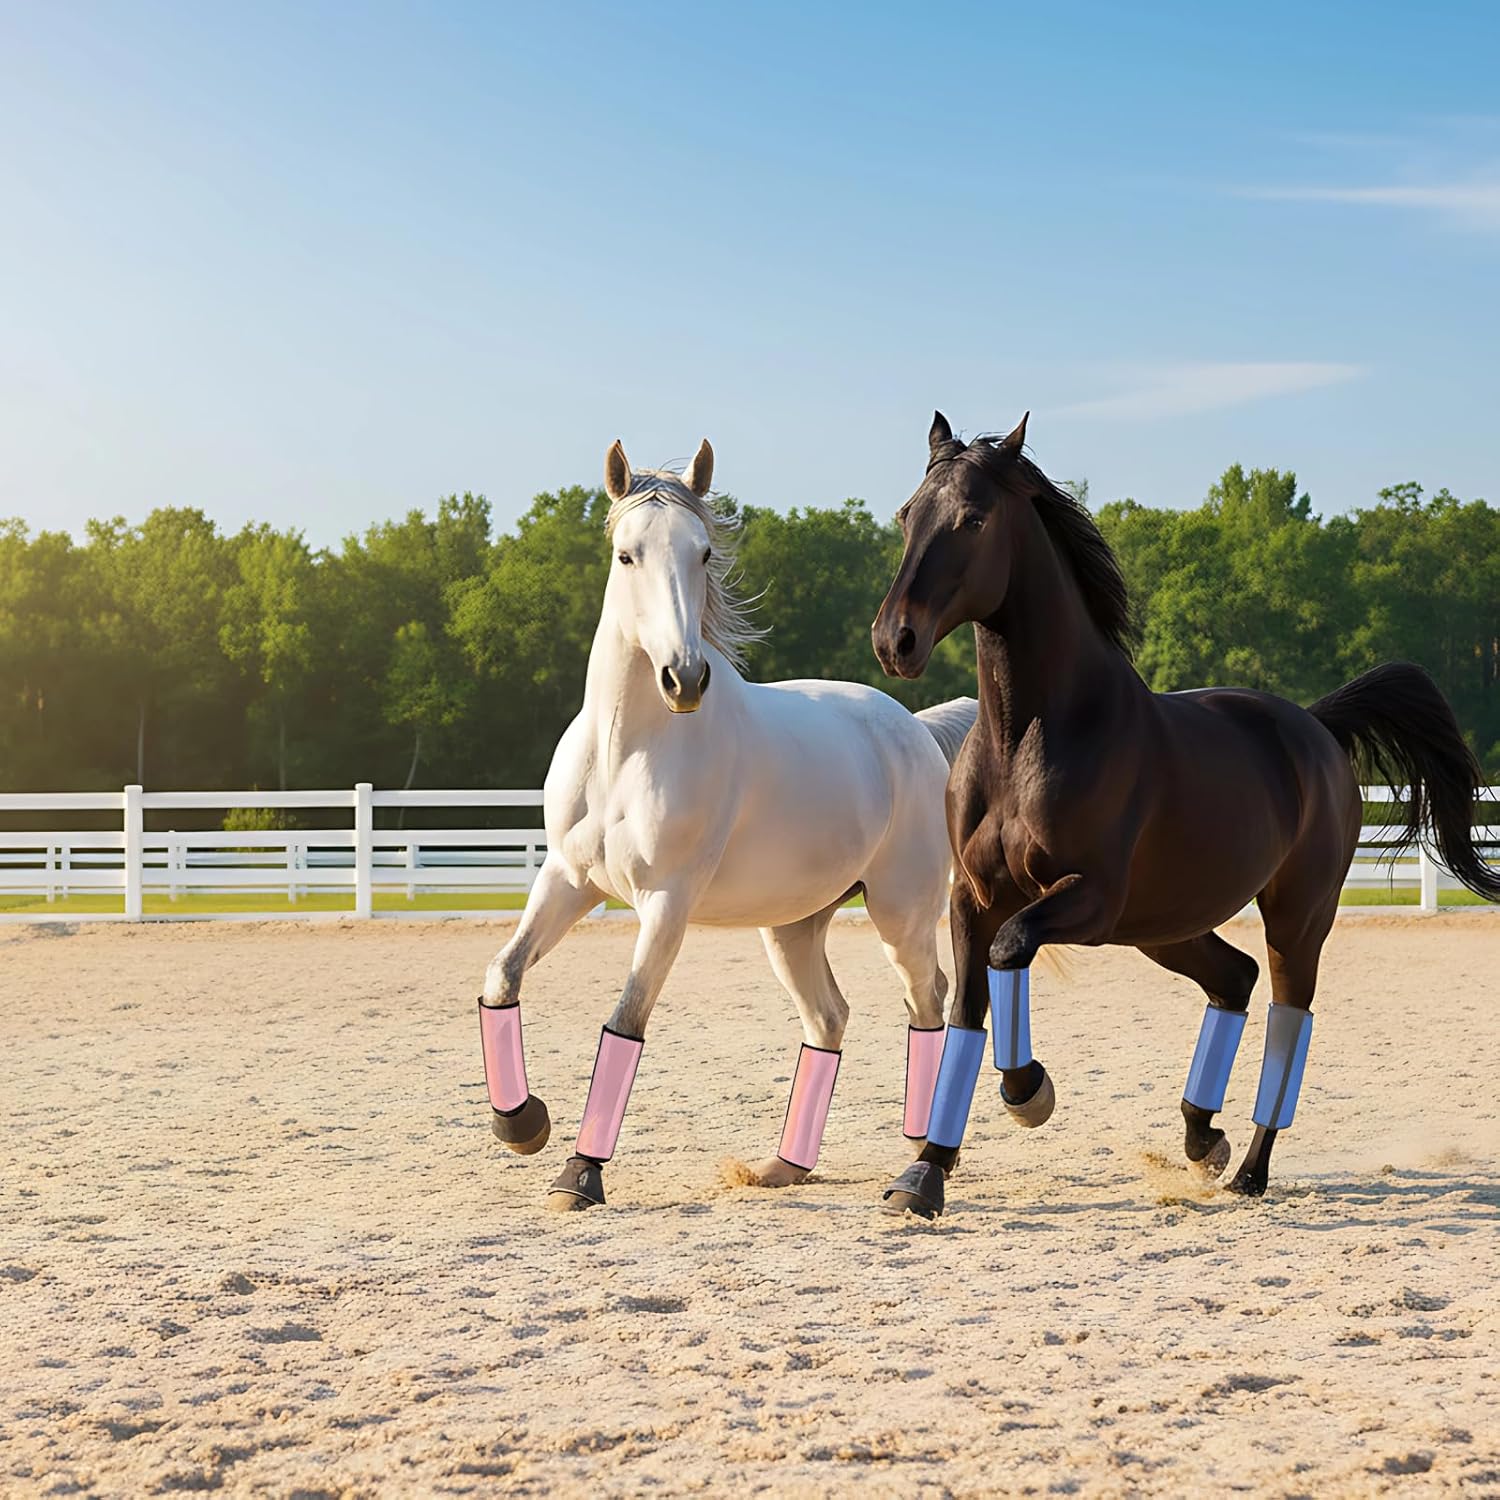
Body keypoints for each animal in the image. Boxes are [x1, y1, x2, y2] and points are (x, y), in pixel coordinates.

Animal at [476, 436, 979, 1209]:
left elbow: (625, 1021)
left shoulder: (666, 904)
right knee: (829, 1017)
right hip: (793, 927)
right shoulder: (569, 880)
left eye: (704, 552)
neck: (628, 752)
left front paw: (580, 1172)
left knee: (929, 1002)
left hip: (902, 914)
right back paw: (783, 1166)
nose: (683, 678)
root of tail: (916, 731)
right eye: (626, 554)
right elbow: (502, 975)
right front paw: (523, 1124)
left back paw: (924, 1163)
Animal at [869, 410, 1500, 1219]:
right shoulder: (974, 899)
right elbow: (967, 1013)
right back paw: (1204, 1137)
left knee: (1288, 1016)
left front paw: (1030, 1092)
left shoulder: (1087, 899)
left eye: (974, 518)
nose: (896, 640)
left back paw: (1249, 1170)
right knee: (1233, 979)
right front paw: (924, 1175)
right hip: (1165, 926)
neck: (1028, 738)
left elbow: (1012, 953)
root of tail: (1317, 727)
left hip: (1295, 915)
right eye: (906, 514)